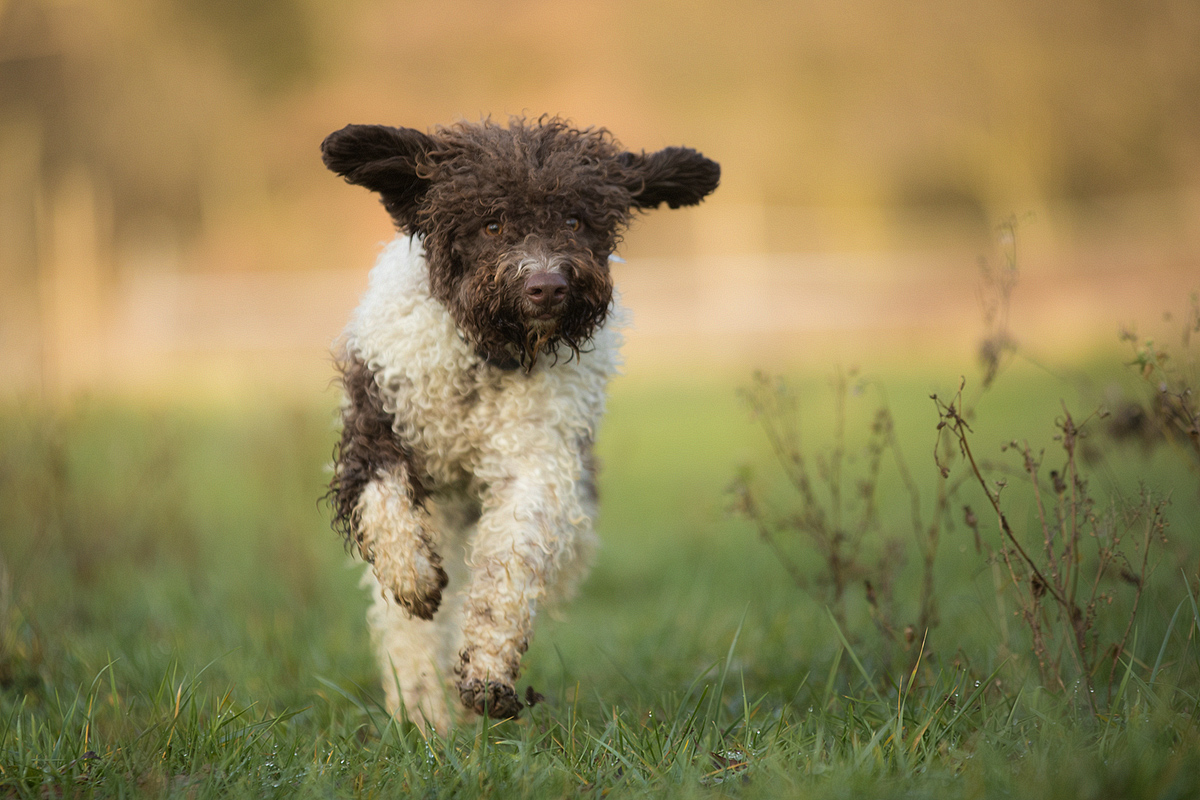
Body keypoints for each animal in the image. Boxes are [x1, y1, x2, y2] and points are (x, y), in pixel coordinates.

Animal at [321, 115, 720, 734]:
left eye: (576, 221)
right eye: (491, 223)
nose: (548, 285)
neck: (489, 356)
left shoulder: (535, 461)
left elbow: (507, 569)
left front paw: (488, 675)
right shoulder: (376, 423)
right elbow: (385, 505)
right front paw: (412, 577)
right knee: (410, 634)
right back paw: (423, 713)